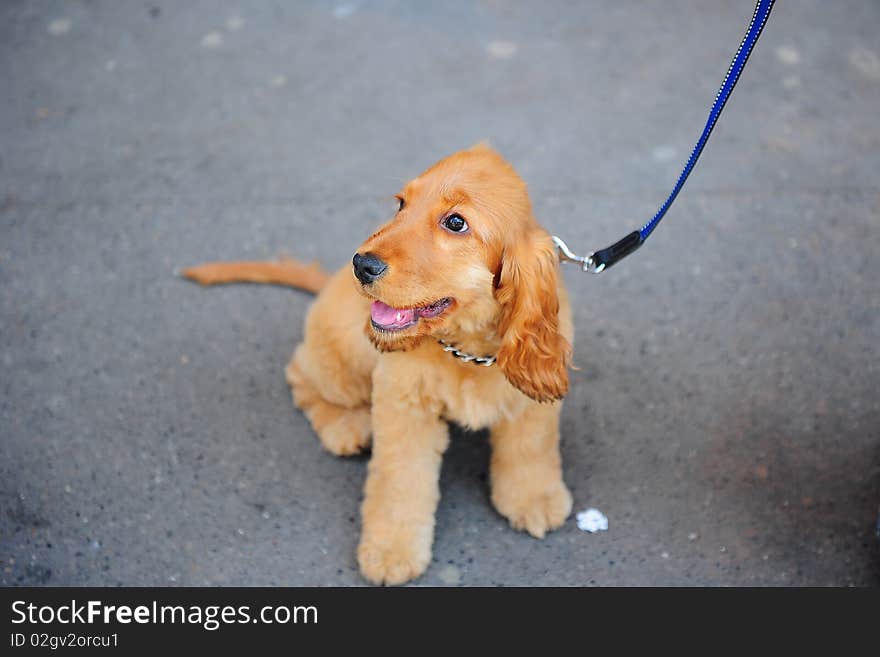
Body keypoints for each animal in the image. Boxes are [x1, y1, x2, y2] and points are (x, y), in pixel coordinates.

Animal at [182, 145, 576, 584]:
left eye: (456, 222)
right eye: (401, 204)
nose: (361, 264)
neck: (466, 345)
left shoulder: (529, 402)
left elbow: (532, 448)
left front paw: (535, 499)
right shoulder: (403, 407)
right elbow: (400, 482)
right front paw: (391, 552)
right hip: (345, 355)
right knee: (300, 372)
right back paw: (344, 428)